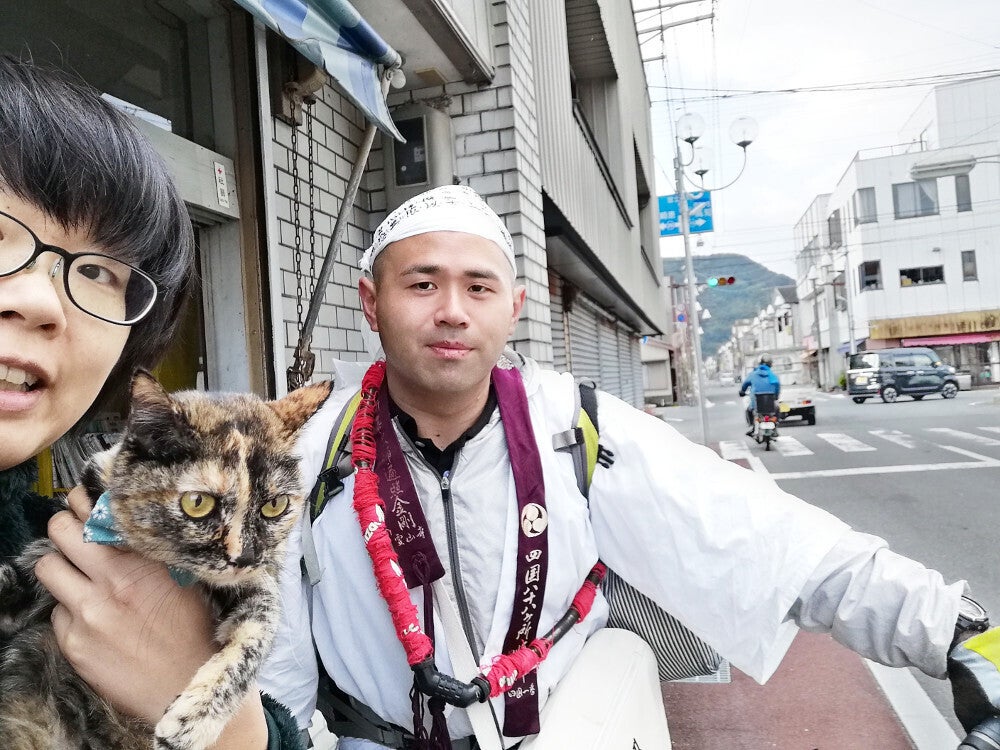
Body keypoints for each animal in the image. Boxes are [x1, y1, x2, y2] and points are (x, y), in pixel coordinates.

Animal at [0, 370, 331, 750]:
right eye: (198, 503)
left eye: (275, 505)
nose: (245, 556)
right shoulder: (55, 549)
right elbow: (21, 575)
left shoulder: (259, 584)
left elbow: (254, 638)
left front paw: (193, 720)